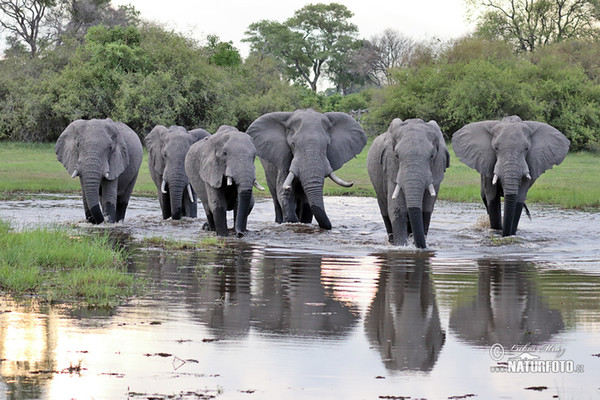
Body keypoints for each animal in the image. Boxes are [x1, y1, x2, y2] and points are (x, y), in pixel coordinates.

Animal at [366, 118, 450, 247]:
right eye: (396, 155)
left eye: (432, 156)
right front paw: (401, 246)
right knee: (384, 208)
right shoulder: (391, 169)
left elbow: (426, 210)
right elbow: (397, 209)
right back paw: (392, 241)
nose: (422, 247)